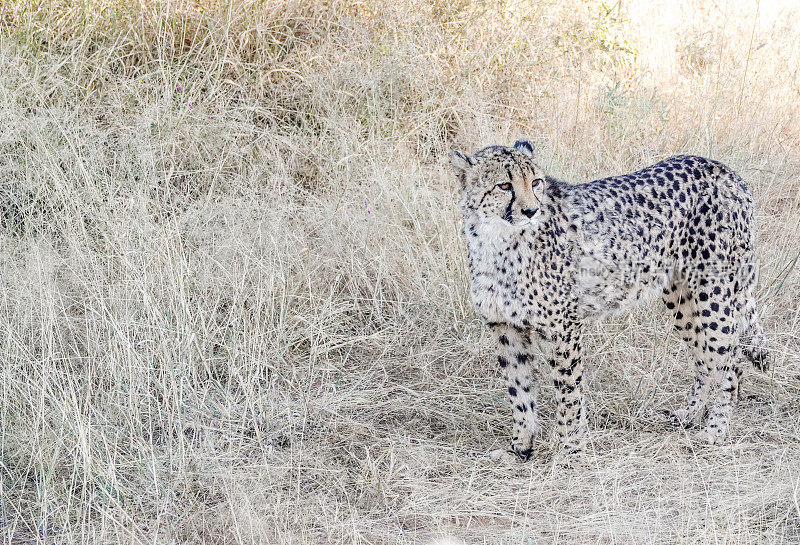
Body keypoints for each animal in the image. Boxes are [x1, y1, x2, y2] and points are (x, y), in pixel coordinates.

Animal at [454, 139, 772, 460]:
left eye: (535, 182)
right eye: (504, 185)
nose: (531, 210)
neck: (496, 239)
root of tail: (722, 169)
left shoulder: (563, 327)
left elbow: (568, 390)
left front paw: (570, 448)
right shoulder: (506, 328)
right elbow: (519, 392)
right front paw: (520, 447)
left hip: (713, 291)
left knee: (731, 359)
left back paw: (716, 429)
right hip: (681, 298)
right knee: (706, 358)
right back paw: (691, 415)